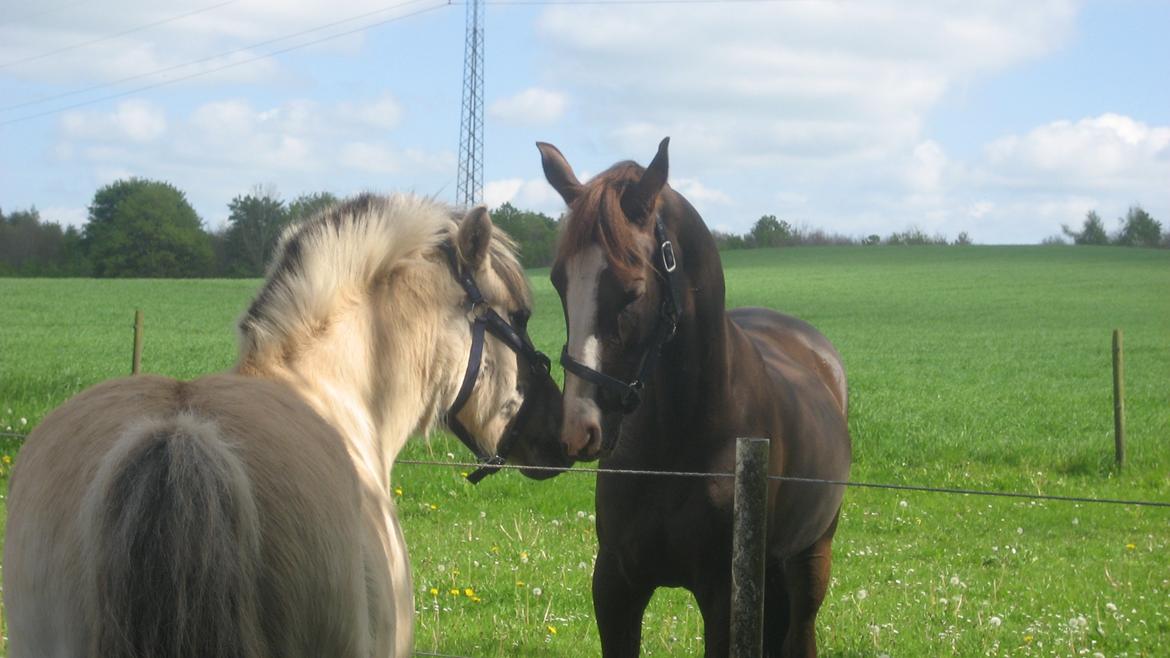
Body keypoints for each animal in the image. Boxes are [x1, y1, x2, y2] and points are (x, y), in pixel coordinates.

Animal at [535, 139, 851, 655]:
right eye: (559, 282)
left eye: (632, 290)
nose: (580, 427)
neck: (677, 442)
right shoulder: (615, 584)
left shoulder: (722, 595)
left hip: (811, 556)